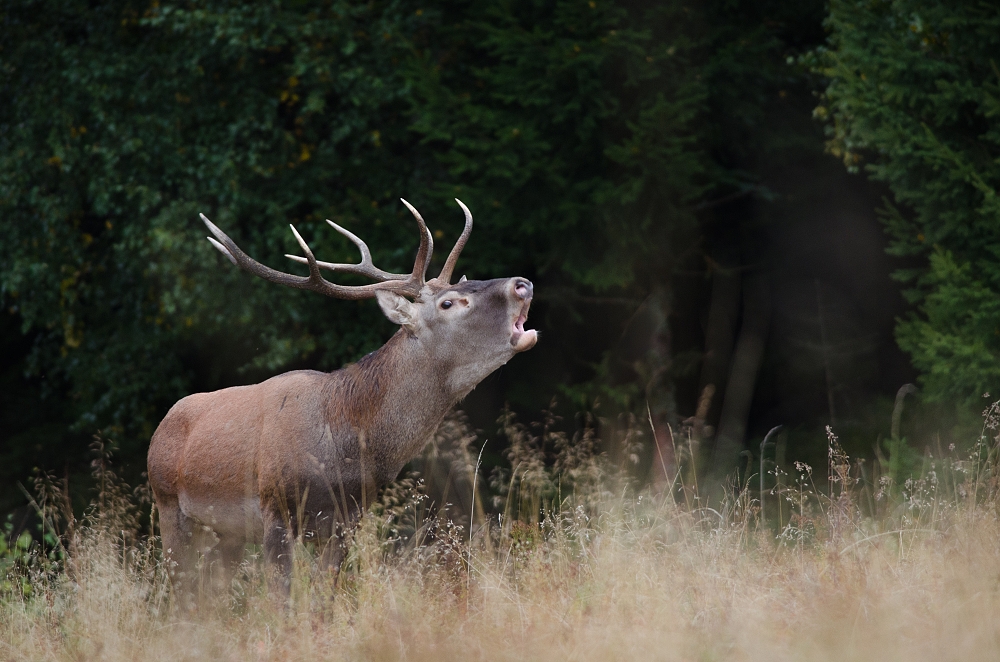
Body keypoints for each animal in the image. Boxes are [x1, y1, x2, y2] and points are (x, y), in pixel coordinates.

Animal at [145, 200, 536, 600]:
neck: (342, 448)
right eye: (448, 302)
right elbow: (280, 598)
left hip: (227, 532)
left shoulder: (348, 521)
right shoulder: (276, 507)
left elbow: (324, 597)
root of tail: (161, 427)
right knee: (182, 588)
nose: (523, 284)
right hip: (168, 502)